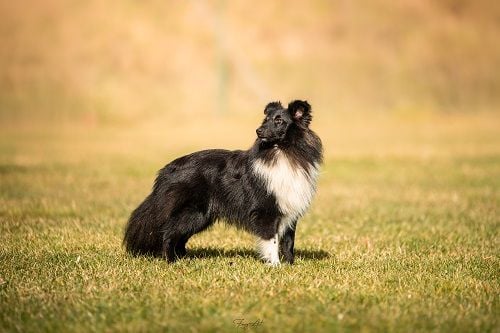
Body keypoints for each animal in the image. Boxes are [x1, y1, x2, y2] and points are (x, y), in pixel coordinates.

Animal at [123, 99, 322, 264]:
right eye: (265, 120)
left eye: (279, 120)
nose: (258, 131)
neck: (282, 152)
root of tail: (166, 169)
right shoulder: (267, 211)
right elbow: (271, 240)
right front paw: (275, 266)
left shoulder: (289, 211)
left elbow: (288, 241)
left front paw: (290, 265)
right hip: (194, 212)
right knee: (168, 233)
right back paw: (171, 261)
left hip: (201, 216)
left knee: (179, 236)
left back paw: (183, 259)